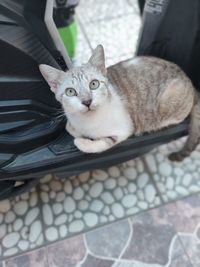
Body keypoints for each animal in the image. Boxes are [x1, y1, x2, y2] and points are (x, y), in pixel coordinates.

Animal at [38, 44, 200, 161]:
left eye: (94, 84)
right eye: (70, 92)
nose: (87, 101)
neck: (89, 122)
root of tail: (189, 81)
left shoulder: (124, 129)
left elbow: (102, 143)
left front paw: (82, 142)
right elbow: (69, 127)